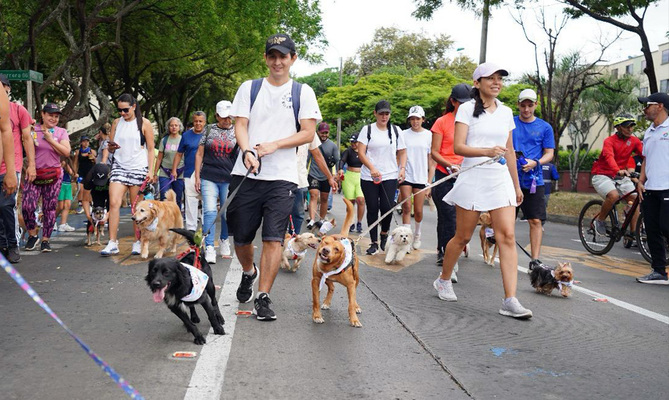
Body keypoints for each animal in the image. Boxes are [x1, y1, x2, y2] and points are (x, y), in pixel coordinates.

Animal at [312, 198, 362, 326]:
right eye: (325, 242)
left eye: (336, 249)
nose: (325, 250)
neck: (330, 267)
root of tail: (343, 236)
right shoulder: (316, 280)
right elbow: (316, 300)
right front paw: (317, 316)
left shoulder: (351, 284)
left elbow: (351, 303)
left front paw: (354, 319)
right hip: (326, 279)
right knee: (332, 287)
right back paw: (326, 302)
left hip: (356, 277)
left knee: (354, 294)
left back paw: (357, 306)